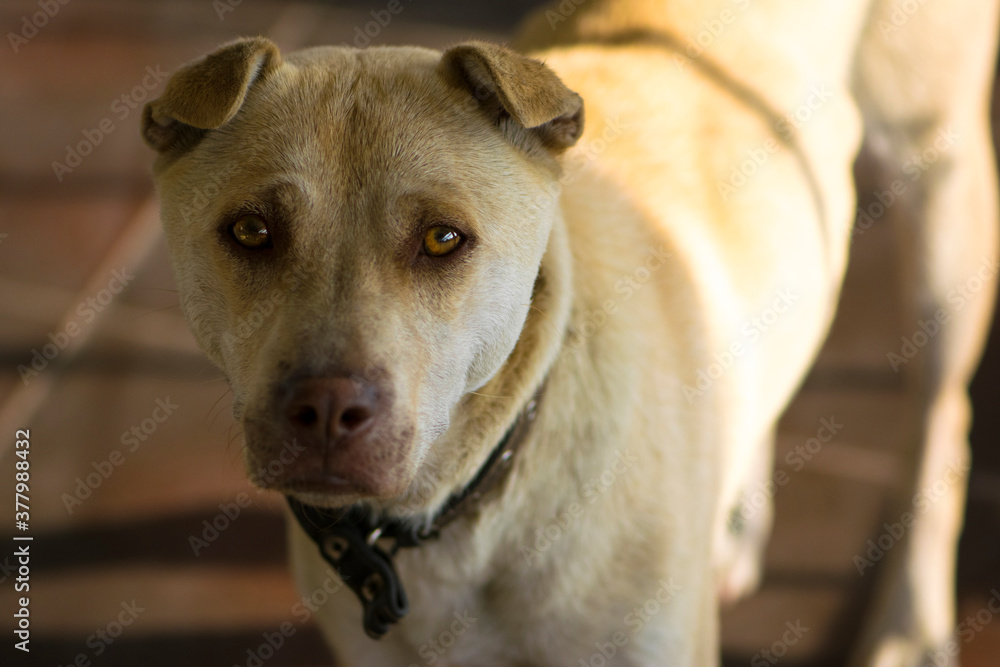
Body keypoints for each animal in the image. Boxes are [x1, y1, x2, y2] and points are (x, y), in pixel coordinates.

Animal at [143, 0, 1000, 664]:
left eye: (443, 239)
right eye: (252, 231)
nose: (325, 408)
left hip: (942, 181)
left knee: (941, 425)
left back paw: (909, 624)